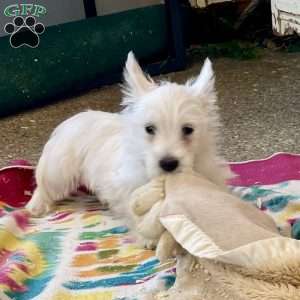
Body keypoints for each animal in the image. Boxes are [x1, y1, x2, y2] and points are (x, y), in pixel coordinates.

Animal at [25, 51, 232, 220]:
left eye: (188, 129)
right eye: (149, 129)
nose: (168, 164)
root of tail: (73, 119)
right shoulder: (127, 188)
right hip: (58, 170)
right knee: (44, 185)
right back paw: (36, 206)